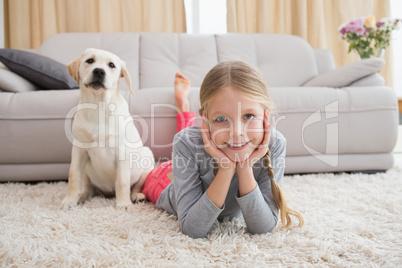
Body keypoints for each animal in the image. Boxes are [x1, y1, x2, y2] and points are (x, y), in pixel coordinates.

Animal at [62, 48, 155, 211]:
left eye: (111, 65)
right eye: (90, 61)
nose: (99, 71)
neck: (98, 107)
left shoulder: (122, 151)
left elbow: (122, 181)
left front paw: (123, 204)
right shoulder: (79, 150)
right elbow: (73, 175)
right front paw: (69, 200)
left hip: (146, 158)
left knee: (136, 186)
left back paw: (136, 196)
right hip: (87, 170)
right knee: (89, 188)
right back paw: (82, 197)